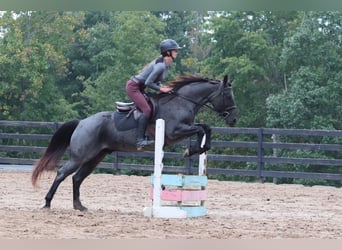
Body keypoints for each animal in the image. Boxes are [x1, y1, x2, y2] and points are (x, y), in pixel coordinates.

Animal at [30, 74, 236, 211]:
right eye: (228, 95)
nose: (233, 120)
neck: (181, 102)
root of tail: (82, 122)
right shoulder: (175, 131)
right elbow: (200, 129)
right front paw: (191, 150)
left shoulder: (184, 128)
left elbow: (205, 127)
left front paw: (199, 148)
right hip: (81, 156)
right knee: (62, 173)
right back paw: (47, 202)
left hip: (95, 157)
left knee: (77, 178)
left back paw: (79, 206)